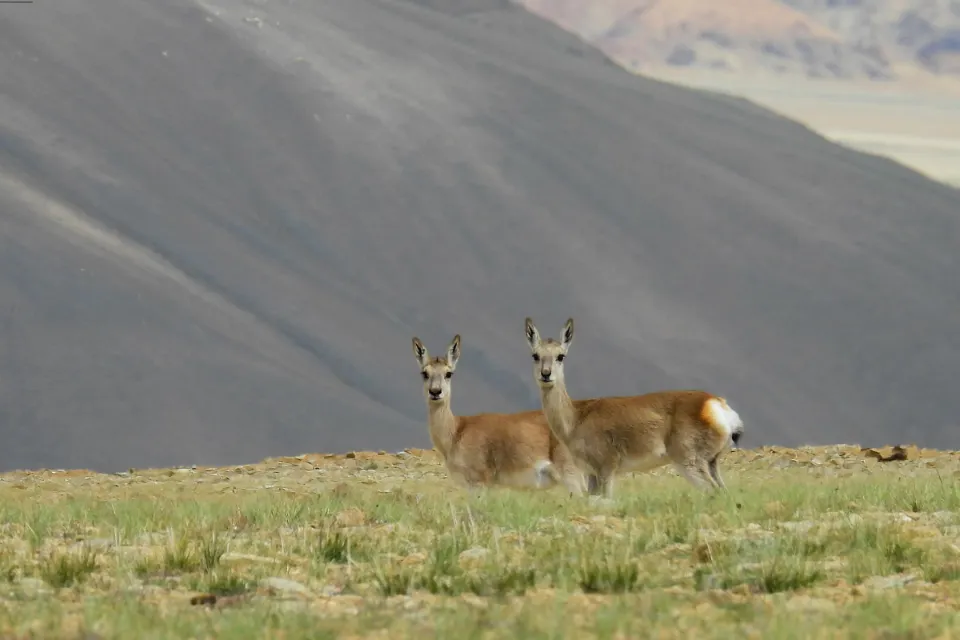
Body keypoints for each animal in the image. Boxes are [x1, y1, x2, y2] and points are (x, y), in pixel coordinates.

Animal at [411, 333, 587, 496]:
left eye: (448, 373)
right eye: (424, 373)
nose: (435, 391)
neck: (456, 431)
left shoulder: (479, 484)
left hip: (572, 476)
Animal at [523, 317, 744, 498]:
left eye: (561, 356)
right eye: (535, 355)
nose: (545, 374)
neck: (576, 417)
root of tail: (714, 402)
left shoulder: (606, 470)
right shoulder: (591, 474)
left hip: (689, 463)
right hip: (711, 463)